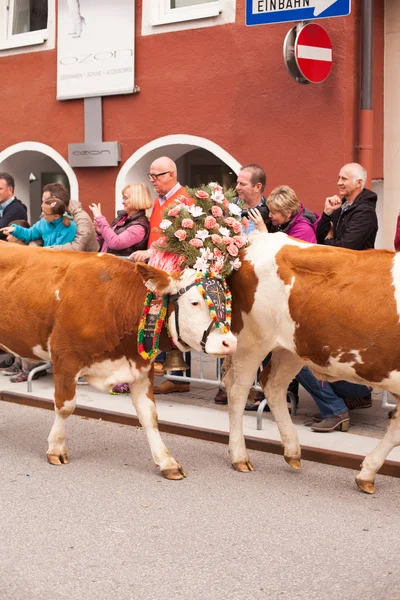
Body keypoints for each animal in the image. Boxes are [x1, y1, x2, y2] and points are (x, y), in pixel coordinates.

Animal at [0, 241, 238, 480]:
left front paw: (167, 461)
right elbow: (65, 406)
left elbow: (149, 415)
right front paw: (56, 449)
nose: (230, 342)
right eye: (195, 302)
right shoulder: (65, 358)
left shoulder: (140, 368)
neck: (113, 301)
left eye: (227, 302)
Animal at [223, 231, 400, 492]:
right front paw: (367, 473)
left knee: (272, 385)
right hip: (251, 341)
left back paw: (292, 451)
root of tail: (256, 238)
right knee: (238, 391)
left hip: (292, 349)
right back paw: (239, 456)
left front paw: (367, 473)